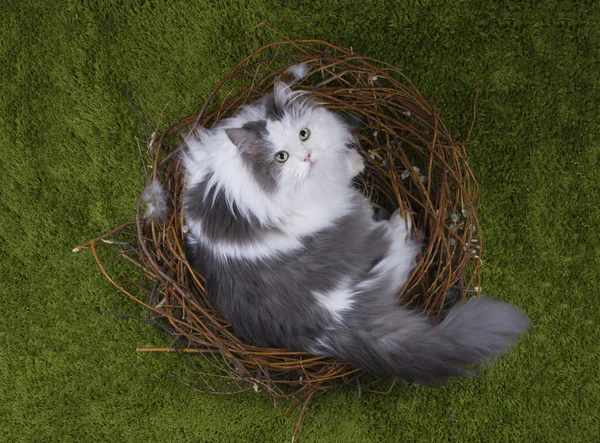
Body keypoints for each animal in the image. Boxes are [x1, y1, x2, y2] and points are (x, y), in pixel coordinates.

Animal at [182, 80, 528, 386]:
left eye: (304, 134)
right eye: (281, 157)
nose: (307, 157)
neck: (246, 172)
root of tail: (332, 316)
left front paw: (350, 160)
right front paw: (355, 163)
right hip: (356, 215)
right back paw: (403, 219)